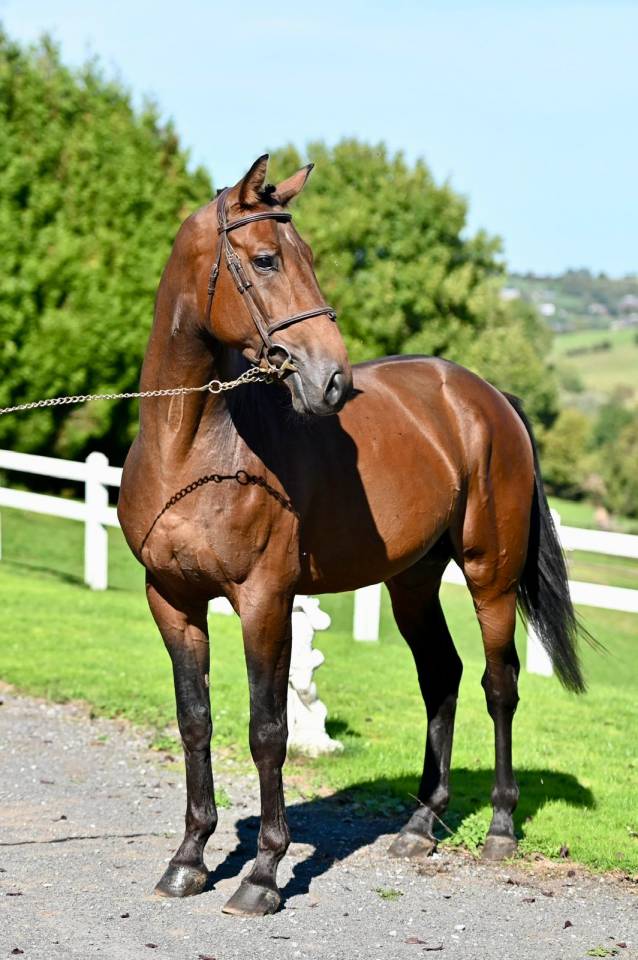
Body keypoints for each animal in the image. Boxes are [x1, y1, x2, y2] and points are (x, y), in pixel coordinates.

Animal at [118, 154, 587, 917]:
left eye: (308, 256)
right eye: (267, 258)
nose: (331, 379)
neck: (193, 450)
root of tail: (487, 398)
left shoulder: (265, 601)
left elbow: (268, 730)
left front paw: (262, 875)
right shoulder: (172, 601)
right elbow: (196, 721)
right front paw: (188, 859)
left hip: (489, 575)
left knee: (499, 684)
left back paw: (500, 828)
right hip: (412, 581)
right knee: (442, 676)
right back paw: (421, 825)